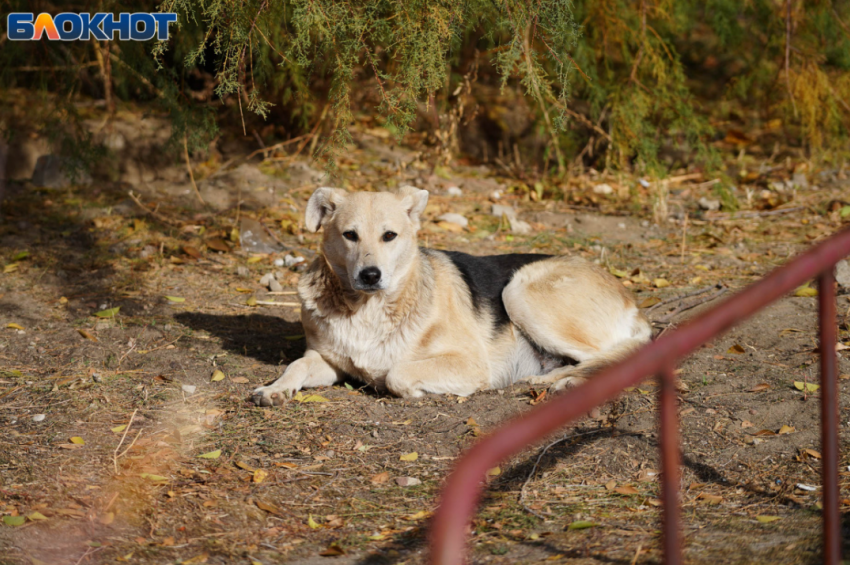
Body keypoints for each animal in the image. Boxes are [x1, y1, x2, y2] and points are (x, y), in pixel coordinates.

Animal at [252, 186, 648, 406]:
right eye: (350, 235)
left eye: (389, 236)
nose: (370, 275)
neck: (369, 309)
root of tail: (632, 305)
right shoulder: (325, 361)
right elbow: (297, 365)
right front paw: (275, 388)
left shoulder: (469, 363)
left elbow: (396, 374)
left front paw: (413, 391)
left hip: (519, 291)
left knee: (612, 356)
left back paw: (561, 381)